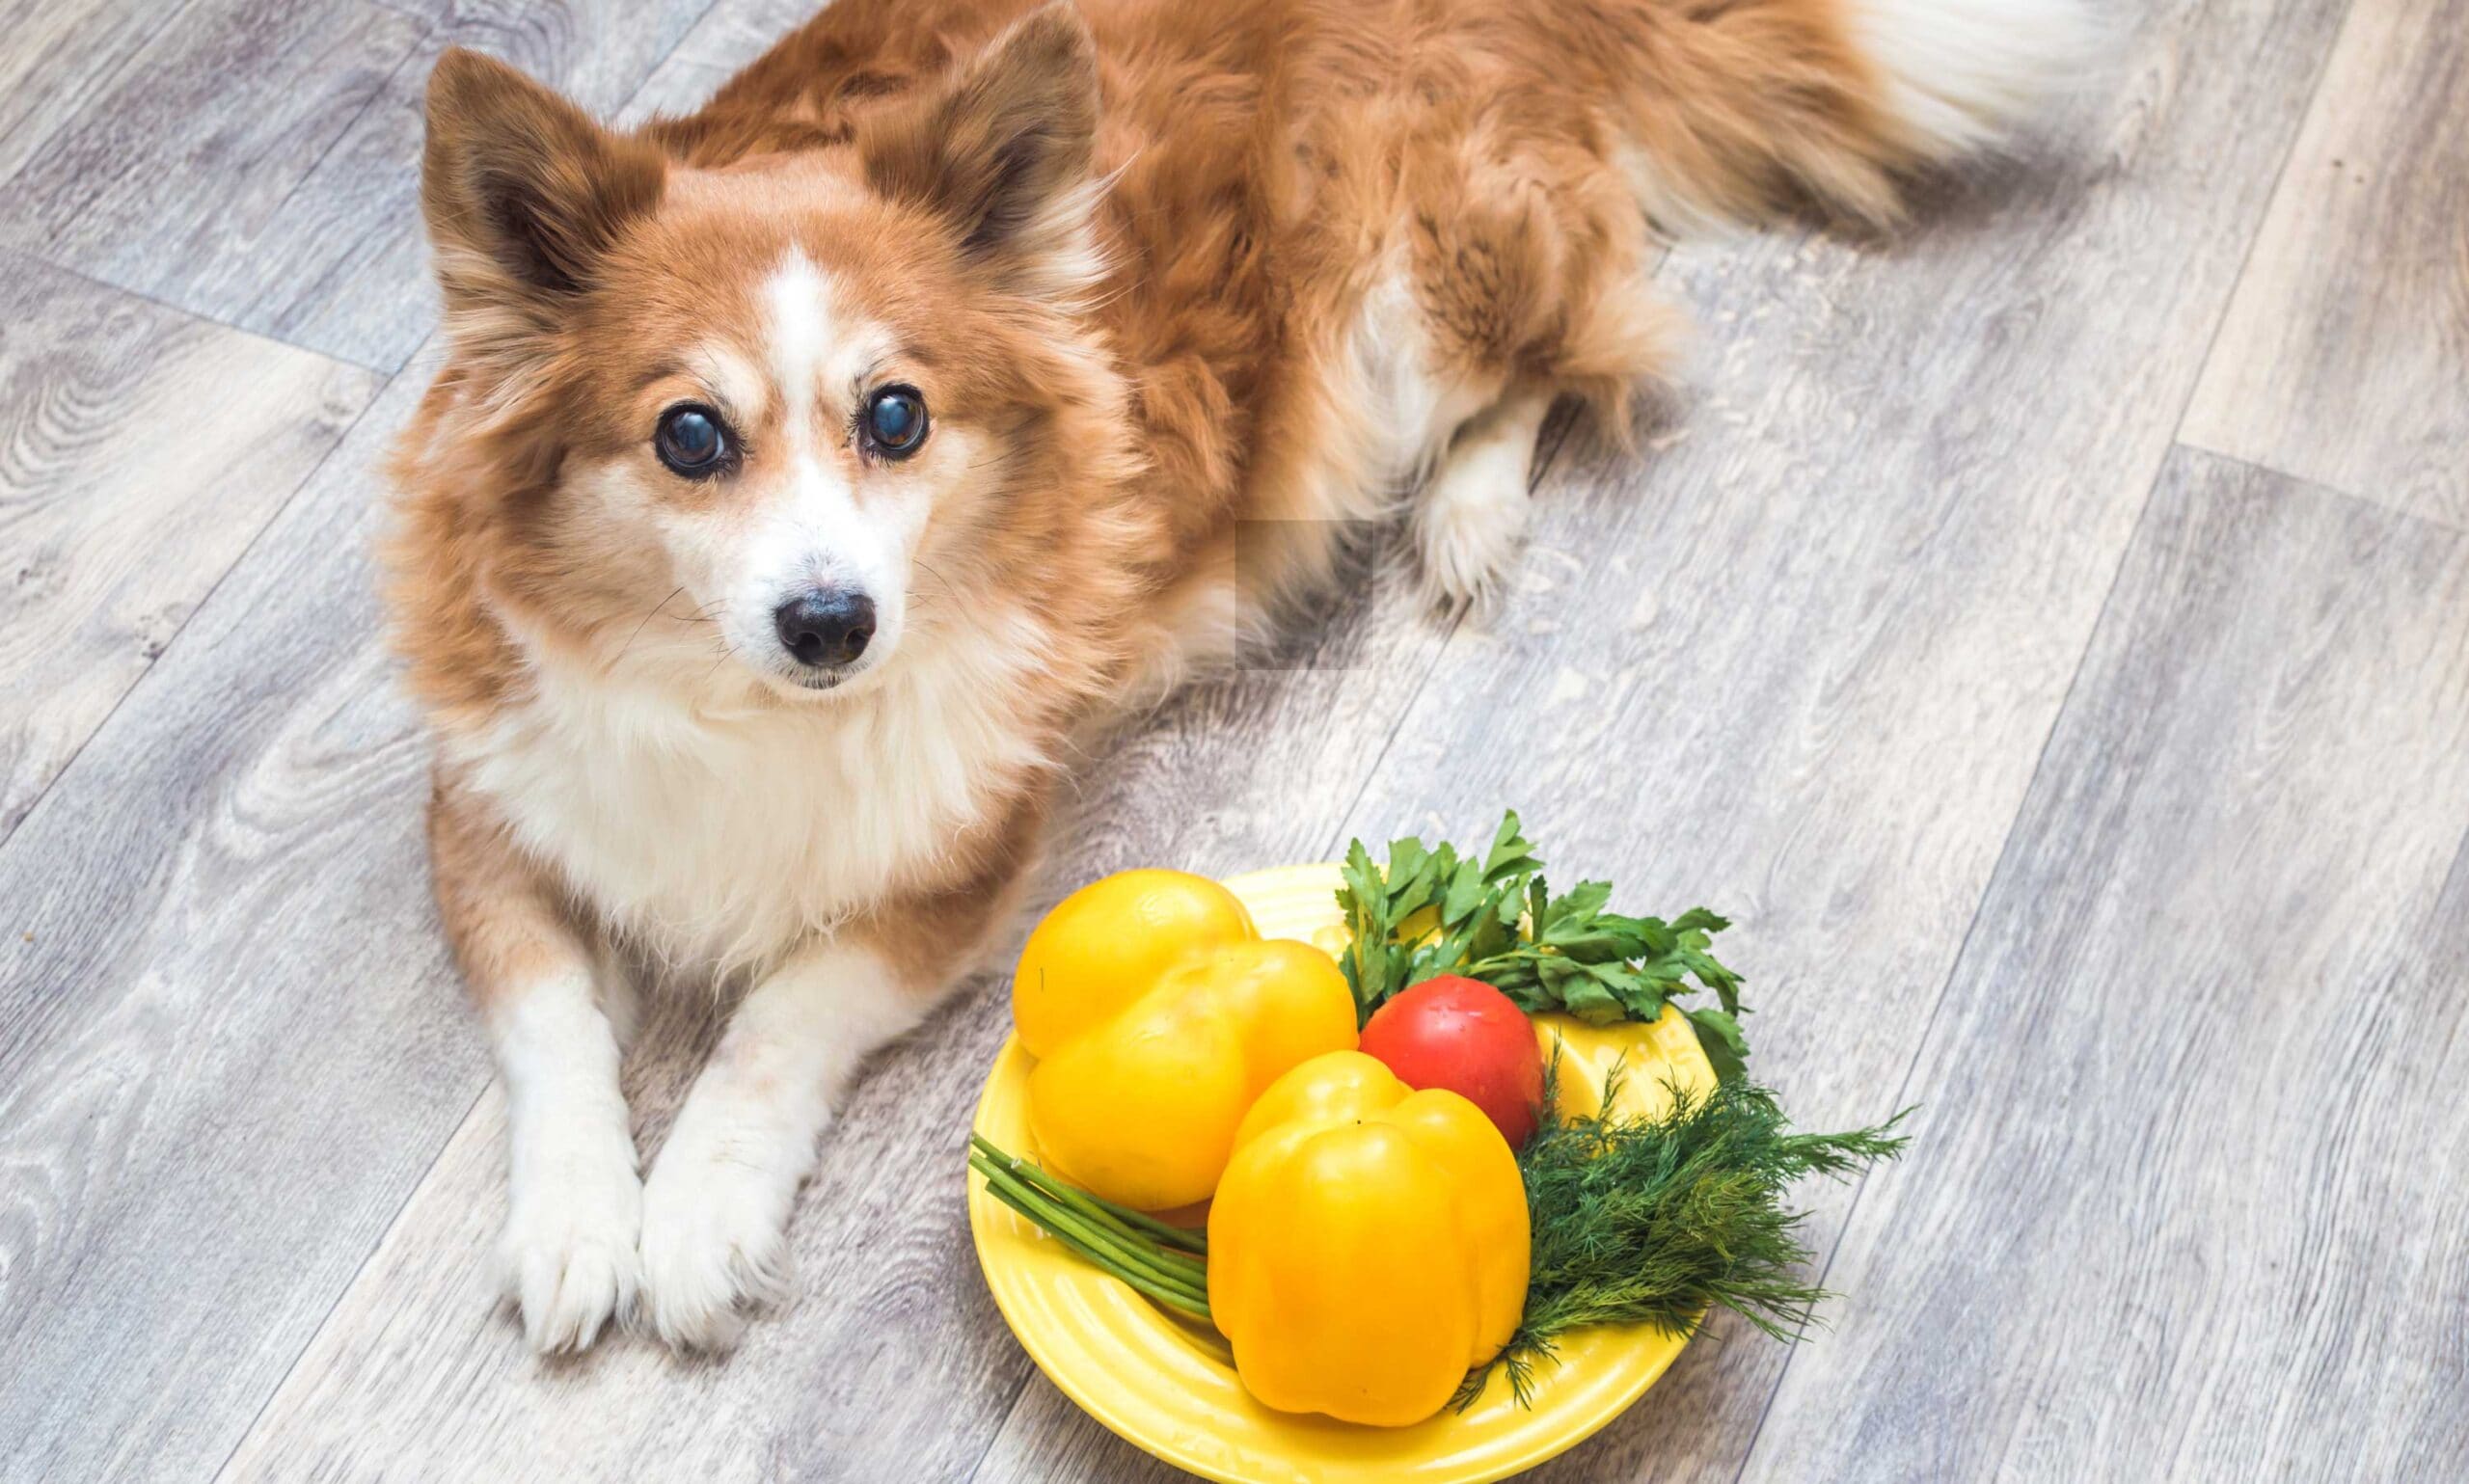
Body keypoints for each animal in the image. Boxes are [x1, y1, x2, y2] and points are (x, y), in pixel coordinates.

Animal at [380, 0, 2083, 1353]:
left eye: (897, 417)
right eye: (688, 435)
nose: (833, 622)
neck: (738, 705)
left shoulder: (971, 849)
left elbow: (778, 1016)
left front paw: (696, 1215)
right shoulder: (488, 794)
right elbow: (552, 1020)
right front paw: (578, 1221)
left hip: (1403, 306)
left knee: (1558, 354)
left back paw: (1469, 510)